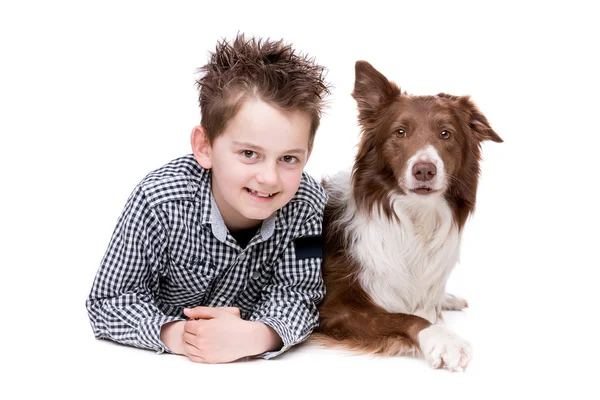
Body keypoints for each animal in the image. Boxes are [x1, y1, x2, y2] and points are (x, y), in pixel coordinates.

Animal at [314, 60, 502, 372]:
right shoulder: (333, 308)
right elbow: (407, 318)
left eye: (445, 133)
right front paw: (446, 341)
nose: (424, 170)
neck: (414, 219)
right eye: (400, 132)